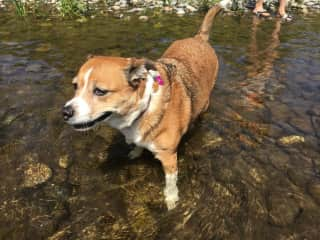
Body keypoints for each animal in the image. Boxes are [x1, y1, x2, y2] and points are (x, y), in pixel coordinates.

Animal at [62, 4, 222, 209]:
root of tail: (199, 38)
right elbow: (138, 145)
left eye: (100, 91)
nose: (65, 112)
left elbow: (171, 183)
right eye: (75, 86)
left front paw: (171, 199)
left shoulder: (169, 157)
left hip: (205, 101)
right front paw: (136, 152)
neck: (143, 108)